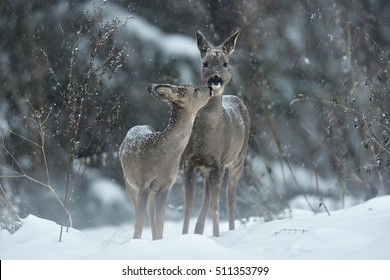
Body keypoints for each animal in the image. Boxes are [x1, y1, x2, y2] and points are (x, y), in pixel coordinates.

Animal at [120, 83, 213, 241]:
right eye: (195, 89)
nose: (211, 87)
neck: (163, 156)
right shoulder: (144, 182)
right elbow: (140, 221)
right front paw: (136, 241)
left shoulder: (165, 186)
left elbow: (160, 222)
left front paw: (158, 240)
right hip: (130, 184)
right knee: (138, 212)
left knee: (150, 212)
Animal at [182, 30, 251, 236]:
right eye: (205, 63)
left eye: (225, 63)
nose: (215, 78)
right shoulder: (189, 161)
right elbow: (189, 204)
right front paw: (184, 235)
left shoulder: (218, 161)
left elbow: (216, 204)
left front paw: (217, 235)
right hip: (208, 168)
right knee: (207, 195)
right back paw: (198, 230)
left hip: (238, 160)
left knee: (230, 198)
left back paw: (230, 229)